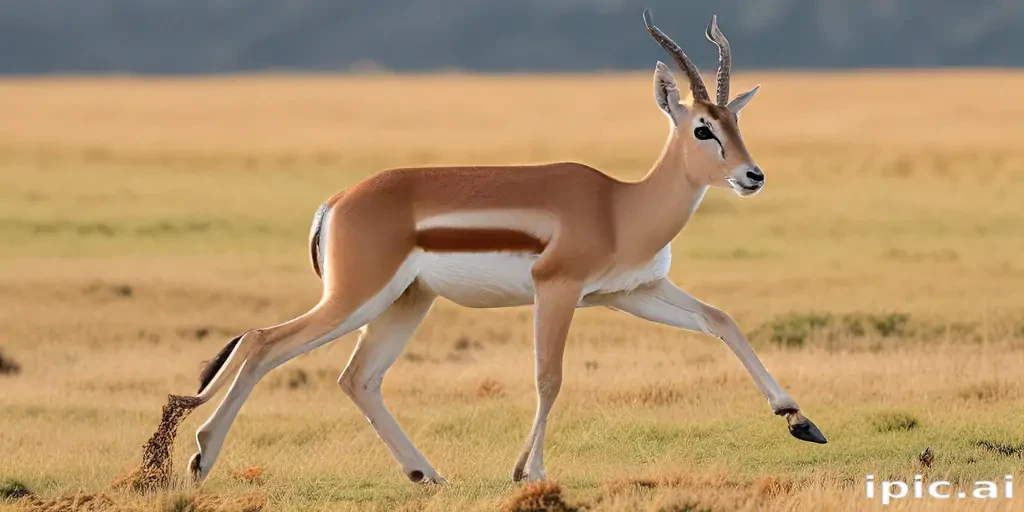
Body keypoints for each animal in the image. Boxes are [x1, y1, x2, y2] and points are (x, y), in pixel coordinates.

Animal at [181, 9, 827, 485]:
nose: (752, 176)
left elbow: (722, 320)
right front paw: (529, 472)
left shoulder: (632, 291)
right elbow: (549, 377)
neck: (621, 208)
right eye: (702, 129)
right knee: (262, 343)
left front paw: (799, 420)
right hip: (356, 298)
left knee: (356, 378)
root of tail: (338, 200)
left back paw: (426, 475)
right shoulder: (558, 290)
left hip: (405, 302)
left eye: (736, 125)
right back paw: (200, 457)